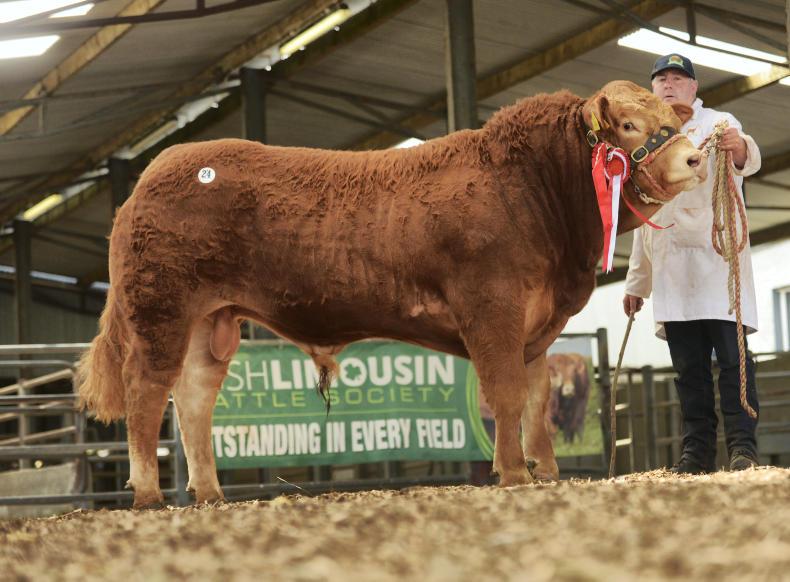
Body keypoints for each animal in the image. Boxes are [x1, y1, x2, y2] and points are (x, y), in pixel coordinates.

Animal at [76, 80, 704, 508]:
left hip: (212, 322)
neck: (531, 188)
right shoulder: (492, 308)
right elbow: (504, 395)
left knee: (194, 399)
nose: (695, 157)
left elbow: (535, 401)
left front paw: (546, 473)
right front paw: (513, 475)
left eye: (666, 117)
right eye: (628, 125)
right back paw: (149, 495)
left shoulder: (537, 325)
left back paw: (208, 493)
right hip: (160, 309)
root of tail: (153, 175)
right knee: (146, 394)